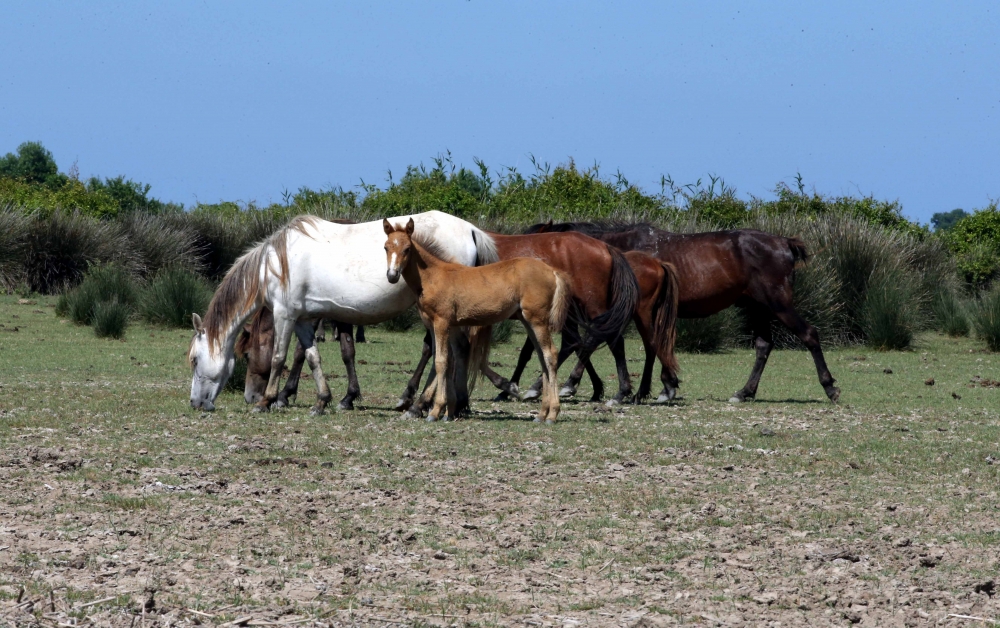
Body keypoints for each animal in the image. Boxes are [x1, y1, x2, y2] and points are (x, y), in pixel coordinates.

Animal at [186, 213, 498, 414]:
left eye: (195, 360)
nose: (196, 403)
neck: (275, 263)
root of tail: (471, 230)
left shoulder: (285, 316)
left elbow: (278, 357)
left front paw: (269, 401)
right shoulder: (303, 319)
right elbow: (311, 356)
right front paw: (322, 400)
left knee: (444, 353)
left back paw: (422, 404)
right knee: (452, 352)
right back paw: (451, 404)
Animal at [382, 218, 572, 424]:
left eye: (407, 249)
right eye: (386, 247)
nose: (392, 275)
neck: (432, 276)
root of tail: (552, 271)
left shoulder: (441, 322)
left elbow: (441, 361)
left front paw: (435, 411)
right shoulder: (447, 326)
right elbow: (450, 360)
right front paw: (449, 412)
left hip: (537, 319)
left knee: (550, 354)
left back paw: (552, 414)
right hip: (527, 320)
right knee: (542, 356)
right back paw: (541, 413)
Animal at [528, 221, 840, 404]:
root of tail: (784, 243)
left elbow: (595, 341)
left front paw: (566, 384)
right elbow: (650, 346)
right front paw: (662, 386)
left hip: (778, 305)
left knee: (809, 335)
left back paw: (829, 387)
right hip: (759, 308)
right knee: (764, 345)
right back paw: (744, 392)